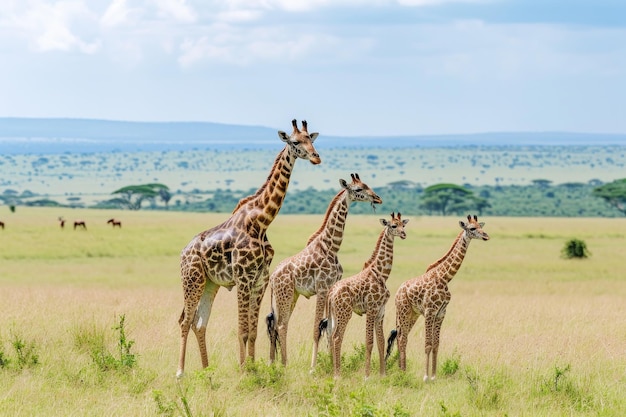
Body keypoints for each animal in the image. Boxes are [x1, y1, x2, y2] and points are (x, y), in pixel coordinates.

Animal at [177, 118, 320, 376]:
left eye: (311, 140)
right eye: (295, 142)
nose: (316, 157)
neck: (262, 221)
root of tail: (183, 252)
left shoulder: (260, 279)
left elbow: (252, 332)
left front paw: (253, 368)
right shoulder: (243, 277)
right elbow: (242, 330)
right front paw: (243, 370)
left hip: (210, 284)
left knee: (199, 322)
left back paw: (206, 370)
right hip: (192, 279)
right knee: (185, 320)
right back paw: (181, 373)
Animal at [264, 172, 380, 368]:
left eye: (367, 185)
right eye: (359, 189)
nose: (378, 198)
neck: (332, 246)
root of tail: (272, 278)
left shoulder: (331, 289)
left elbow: (329, 327)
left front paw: (331, 364)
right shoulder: (322, 288)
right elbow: (317, 328)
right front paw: (313, 367)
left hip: (290, 295)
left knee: (278, 324)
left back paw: (273, 362)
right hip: (284, 294)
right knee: (280, 325)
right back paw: (284, 364)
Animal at [324, 211, 408, 376]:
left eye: (404, 225)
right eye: (393, 225)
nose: (403, 234)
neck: (382, 274)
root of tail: (331, 294)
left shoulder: (381, 311)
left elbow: (381, 341)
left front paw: (382, 374)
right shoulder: (371, 309)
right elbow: (369, 342)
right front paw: (367, 375)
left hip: (334, 314)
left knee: (331, 336)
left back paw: (332, 369)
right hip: (344, 313)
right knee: (337, 337)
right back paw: (338, 374)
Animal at [386, 214, 488, 380]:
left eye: (481, 226)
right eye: (472, 228)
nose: (486, 235)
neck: (445, 277)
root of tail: (398, 291)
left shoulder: (441, 313)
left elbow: (436, 344)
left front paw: (434, 376)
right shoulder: (430, 311)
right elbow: (428, 344)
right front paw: (426, 377)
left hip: (413, 314)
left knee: (402, 337)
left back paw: (403, 370)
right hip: (403, 311)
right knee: (401, 338)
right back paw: (402, 372)